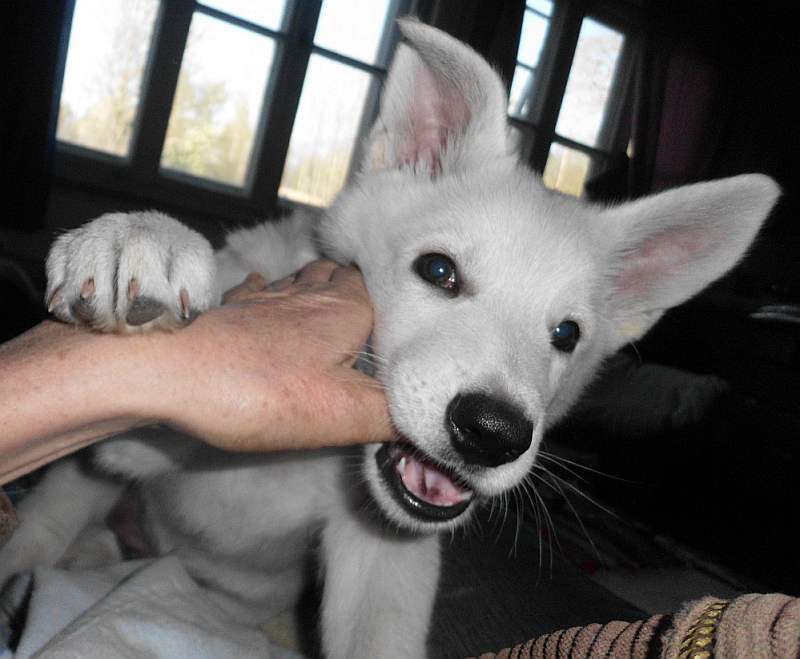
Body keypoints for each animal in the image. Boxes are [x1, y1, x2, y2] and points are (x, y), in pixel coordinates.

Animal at [0, 19, 776, 659]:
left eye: (567, 334)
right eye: (438, 270)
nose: (493, 432)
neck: (314, 461)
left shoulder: (384, 554)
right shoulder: (127, 441)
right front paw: (144, 237)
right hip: (77, 490)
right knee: (45, 525)